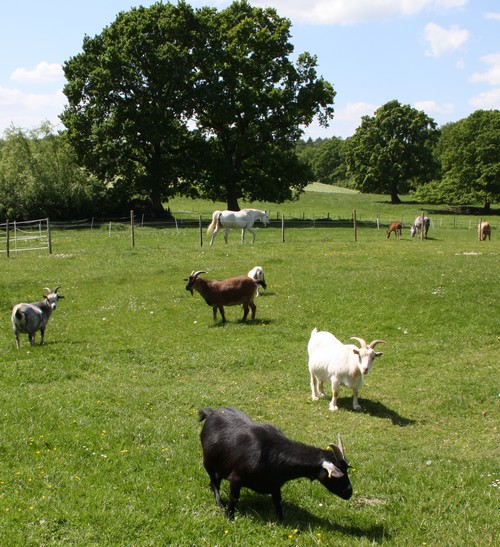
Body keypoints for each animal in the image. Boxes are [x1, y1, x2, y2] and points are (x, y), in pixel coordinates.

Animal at [198, 406, 352, 524]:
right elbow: (234, 498)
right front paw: (229, 517)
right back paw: (219, 502)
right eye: (338, 475)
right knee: (213, 479)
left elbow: (278, 501)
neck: (272, 453)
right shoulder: (236, 478)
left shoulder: (275, 483)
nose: (349, 492)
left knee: (216, 478)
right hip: (207, 460)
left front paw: (281, 521)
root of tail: (211, 412)